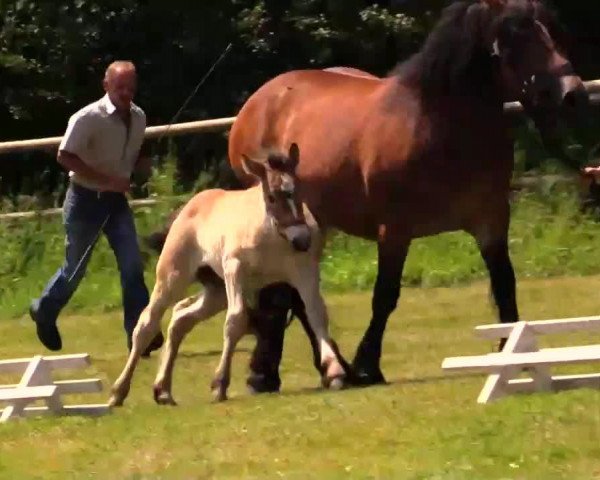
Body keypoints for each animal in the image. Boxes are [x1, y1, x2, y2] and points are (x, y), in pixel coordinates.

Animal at [227, 0, 588, 384]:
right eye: (515, 36)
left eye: (550, 28)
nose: (573, 94)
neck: (438, 126)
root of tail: (256, 102)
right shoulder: (394, 231)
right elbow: (385, 296)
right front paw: (367, 365)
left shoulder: (491, 222)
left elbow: (505, 284)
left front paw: (510, 352)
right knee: (287, 294)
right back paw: (300, 371)